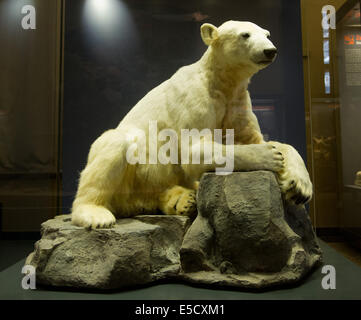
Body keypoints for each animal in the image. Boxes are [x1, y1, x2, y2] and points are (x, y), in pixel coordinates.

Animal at [71, 20, 312, 230]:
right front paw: (270, 155)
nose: (270, 50)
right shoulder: (195, 99)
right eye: (245, 35)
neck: (220, 81)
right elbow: (193, 150)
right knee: (115, 147)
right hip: (131, 169)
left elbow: (257, 138)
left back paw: (183, 199)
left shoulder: (237, 102)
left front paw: (299, 186)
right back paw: (95, 214)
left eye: (267, 34)